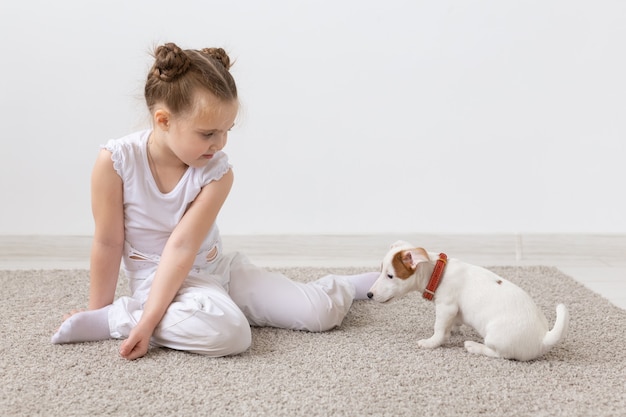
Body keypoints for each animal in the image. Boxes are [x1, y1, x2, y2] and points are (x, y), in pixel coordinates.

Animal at [368, 240, 568, 360]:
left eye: (390, 276)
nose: (369, 294)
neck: (437, 273)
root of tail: (544, 338)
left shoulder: (446, 307)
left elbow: (438, 330)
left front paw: (430, 343)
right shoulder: (452, 311)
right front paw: (453, 330)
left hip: (495, 336)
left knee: (500, 354)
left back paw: (474, 346)